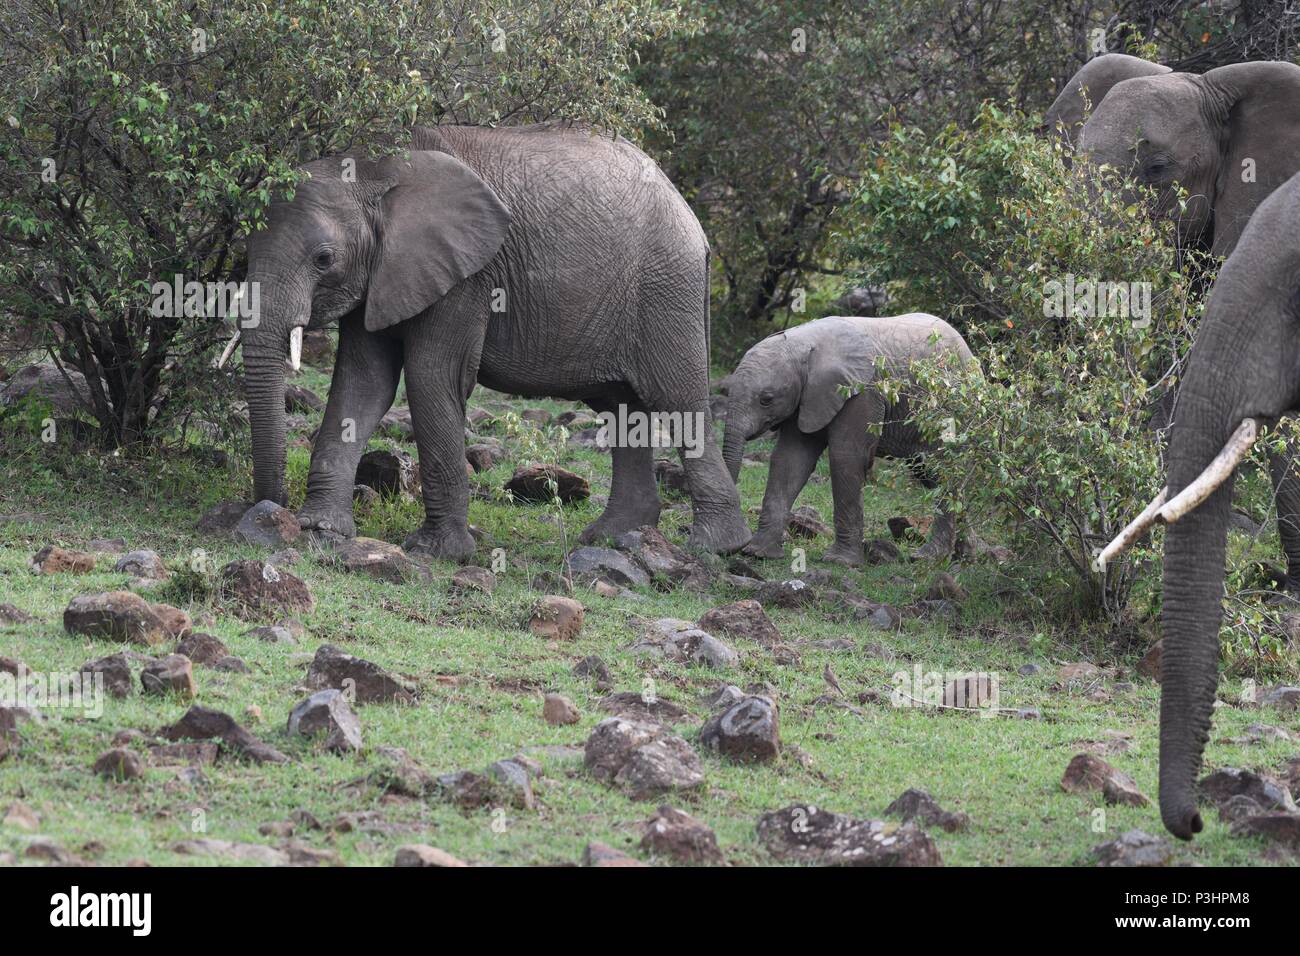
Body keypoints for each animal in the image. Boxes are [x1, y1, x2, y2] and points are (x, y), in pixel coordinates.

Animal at [228, 125, 748, 561]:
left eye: (323, 259)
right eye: (243, 250)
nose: (272, 510)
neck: (372, 170)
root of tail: (692, 219)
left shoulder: (467, 277)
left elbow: (431, 377)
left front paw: (437, 552)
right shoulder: (381, 272)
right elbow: (364, 383)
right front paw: (321, 529)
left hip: (666, 288)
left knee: (678, 399)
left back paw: (715, 547)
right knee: (621, 407)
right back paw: (612, 538)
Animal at [722, 314, 977, 567]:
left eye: (766, 399)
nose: (734, 547)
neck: (804, 343)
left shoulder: (863, 392)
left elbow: (845, 458)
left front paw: (840, 562)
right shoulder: (807, 397)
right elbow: (790, 459)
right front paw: (758, 553)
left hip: (952, 413)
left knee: (944, 471)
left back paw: (929, 557)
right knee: (930, 474)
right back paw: (966, 556)